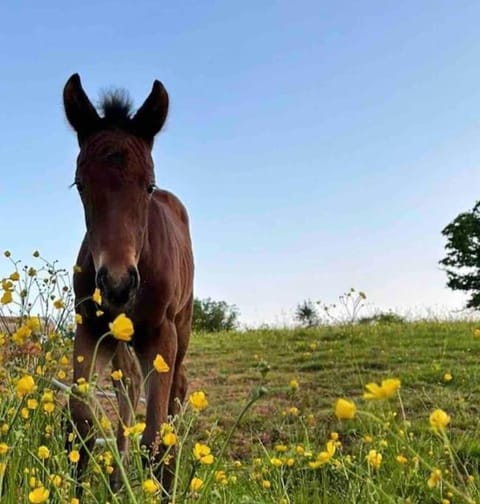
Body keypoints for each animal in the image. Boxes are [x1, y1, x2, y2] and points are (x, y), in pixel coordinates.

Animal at [62, 75, 194, 496]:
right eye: (80, 184)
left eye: (148, 185)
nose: (118, 283)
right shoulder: (90, 328)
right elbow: (81, 424)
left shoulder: (161, 333)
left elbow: (154, 437)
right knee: (128, 389)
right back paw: (118, 482)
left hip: (182, 327)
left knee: (176, 395)